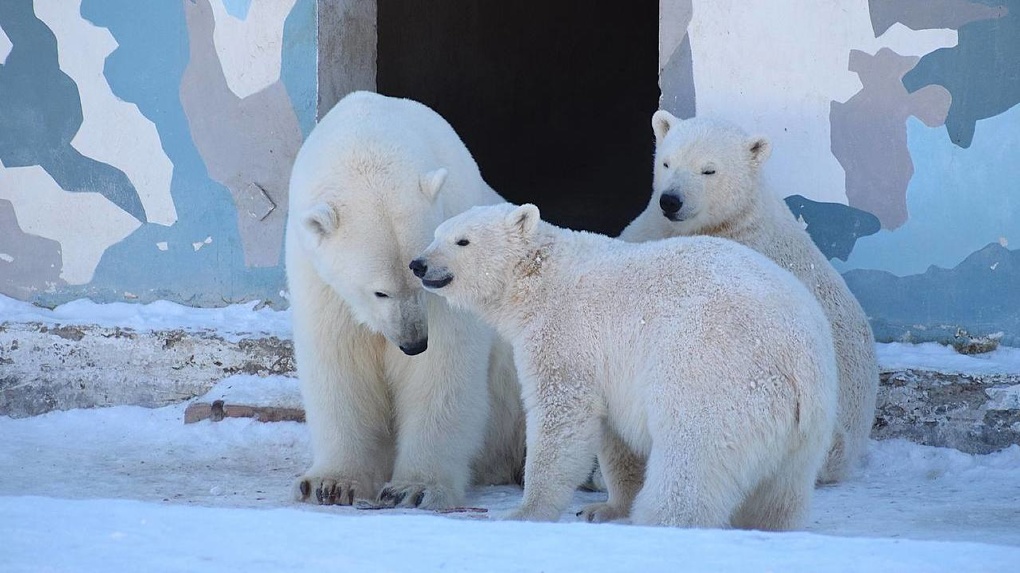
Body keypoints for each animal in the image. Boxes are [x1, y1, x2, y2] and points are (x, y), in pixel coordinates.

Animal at [287, 91, 526, 505]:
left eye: (421, 275)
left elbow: (440, 369)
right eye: (379, 291)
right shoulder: (318, 278)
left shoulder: (454, 264)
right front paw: (330, 484)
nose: (414, 343)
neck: (371, 134)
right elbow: (339, 362)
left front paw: (414, 489)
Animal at [410, 202, 840, 530]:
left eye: (462, 240)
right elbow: (615, 437)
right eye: (436, 233)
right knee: (781, 493)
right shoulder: (611, 367)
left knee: (692, 459)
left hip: (715, 375)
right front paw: (604, 508)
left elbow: (560, 416)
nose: (418, 264)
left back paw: (660, 520)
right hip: (807, 429)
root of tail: (797, 355)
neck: (542, 278)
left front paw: (525, 511)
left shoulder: (567, 334)